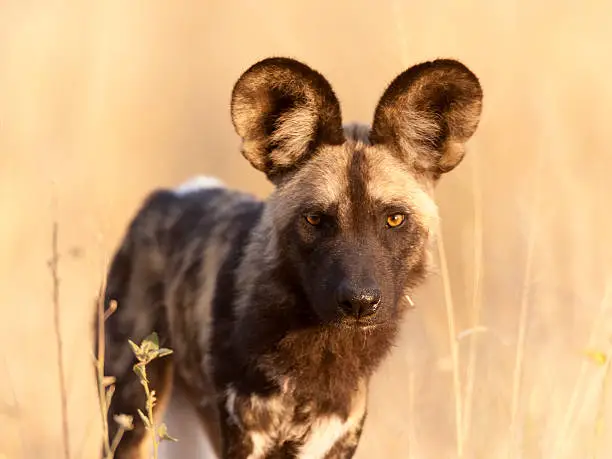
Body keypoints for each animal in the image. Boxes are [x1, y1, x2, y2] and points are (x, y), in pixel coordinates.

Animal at [104, 55, 482, 458]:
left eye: (394, 219)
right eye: (315, 218)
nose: (359, 302)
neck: (320, 353)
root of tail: (172, 193)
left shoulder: (337, 438)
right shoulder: (245, 437)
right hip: (130, 415)